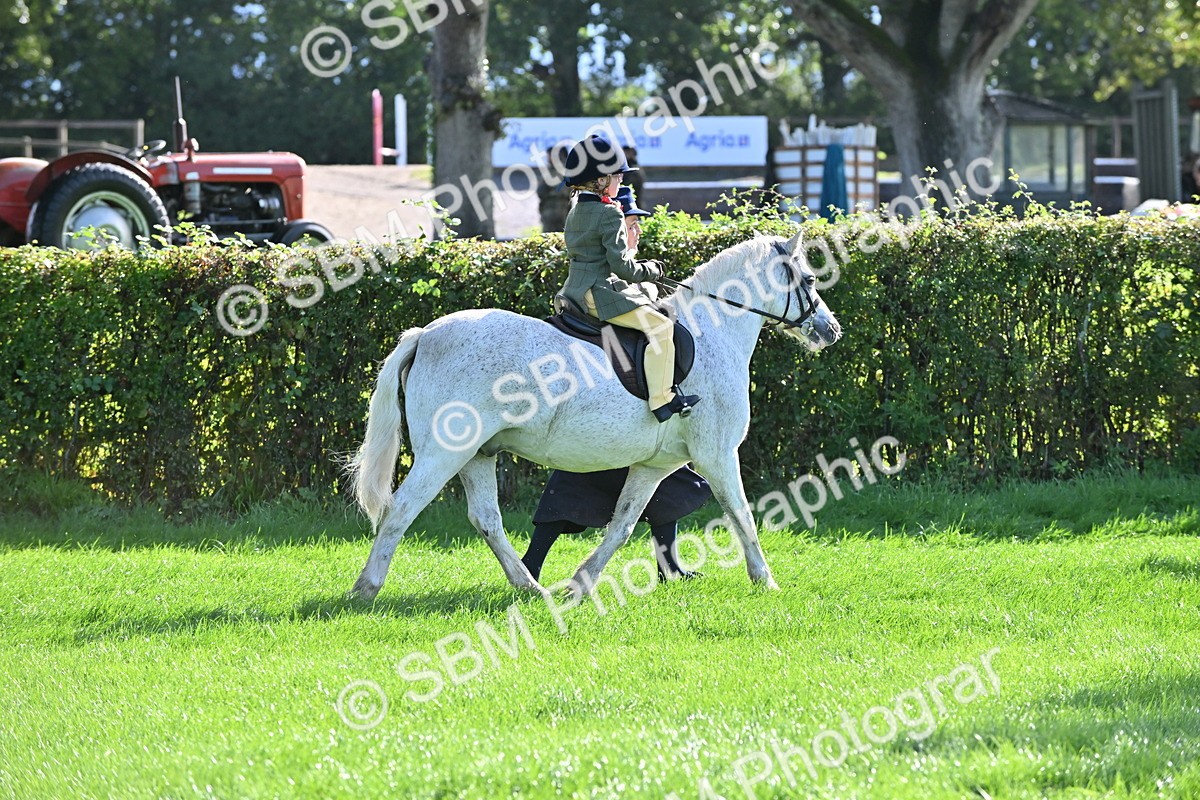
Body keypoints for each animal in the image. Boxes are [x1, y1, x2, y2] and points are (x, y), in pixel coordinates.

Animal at [348, 230, 842, 600]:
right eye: (810, 278)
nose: (831, 330)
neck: (714, 330)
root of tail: (425, 333)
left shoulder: (654, 465)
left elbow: (621, 526)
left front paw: (581, 585)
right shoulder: (717, 455)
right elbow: (742, 515)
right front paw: (765, 580)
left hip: (476, 454)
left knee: (486, 519)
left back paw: (530, 588)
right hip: (443, 454)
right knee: (401, 509)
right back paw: (366, 589)